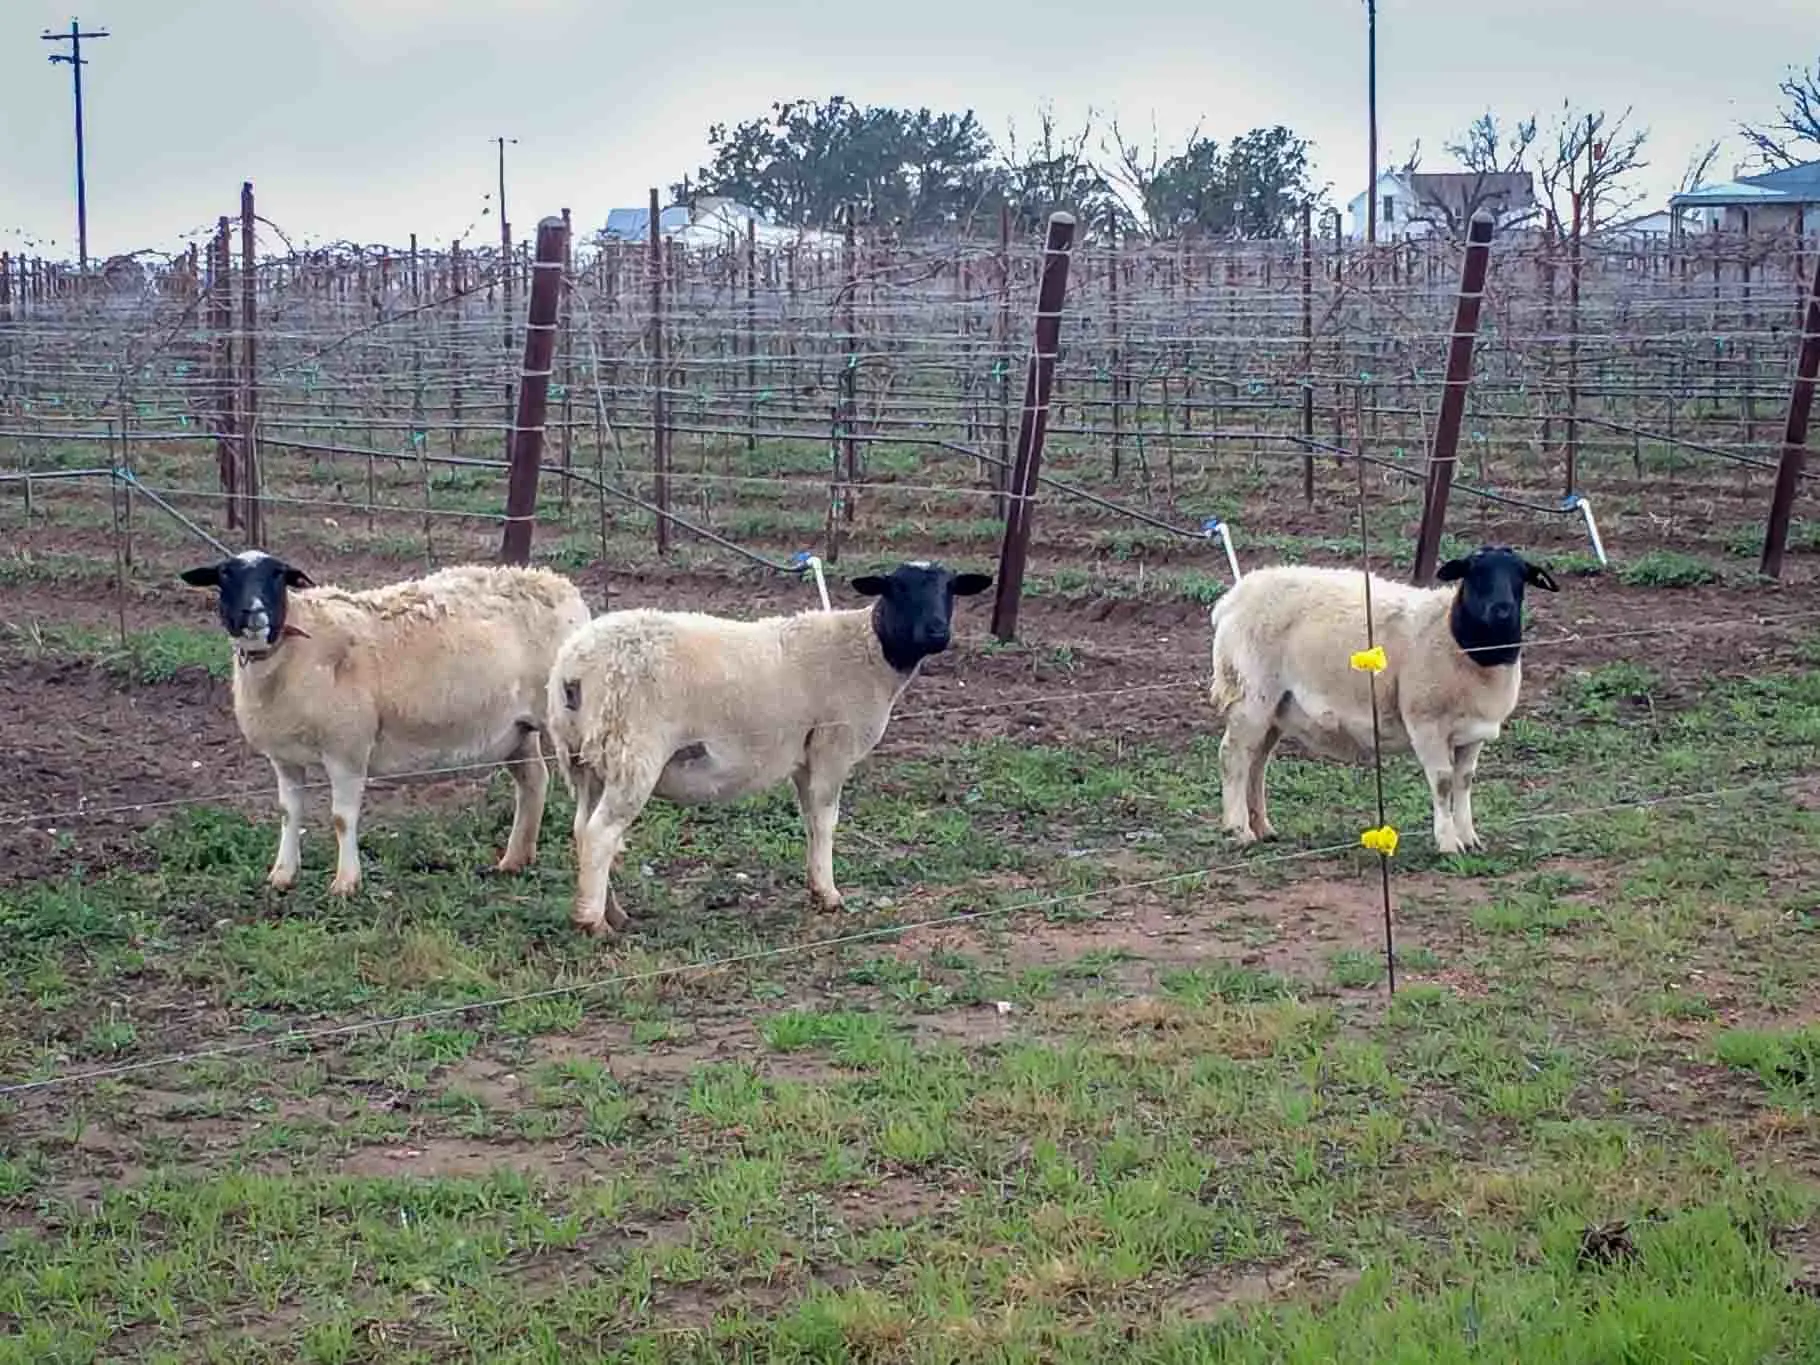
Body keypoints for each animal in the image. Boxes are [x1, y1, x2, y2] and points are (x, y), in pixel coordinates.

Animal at [542, 560, 990, 939]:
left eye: (949, 588)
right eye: (897, 589)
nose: (937, 632)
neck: (869, 652)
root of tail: (572, 667)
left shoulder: (804, 755)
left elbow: (810, 820)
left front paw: (815, 886)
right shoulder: (832, 745)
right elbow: (826, 820)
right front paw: (829, 895)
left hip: (584, 758)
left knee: (584, 829)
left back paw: (610, 910)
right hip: (631, 751)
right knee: (601, 832)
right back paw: (593, 923)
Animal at [1208, 546, 1565, 855]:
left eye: (1521, 575)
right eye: (1473, 573)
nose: (1502, 610)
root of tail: (1233, 597)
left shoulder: (1472, 733)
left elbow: (1464, 782)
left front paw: (1470, 838)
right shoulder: (1426, 722)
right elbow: (1444, 782)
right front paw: (1448, 844)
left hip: (1276, 706)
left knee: (1257, 762)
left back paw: (1263, 828)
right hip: (1250, 693)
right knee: (1234, 756)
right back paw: (1239, 831)